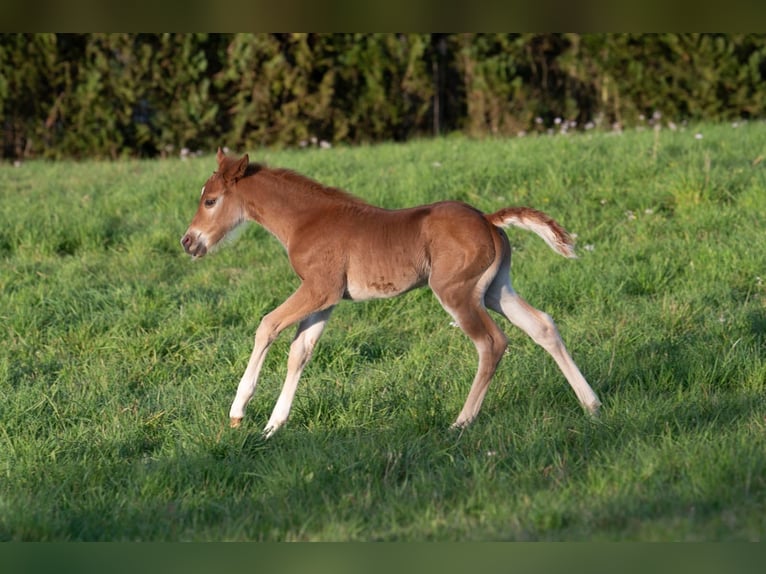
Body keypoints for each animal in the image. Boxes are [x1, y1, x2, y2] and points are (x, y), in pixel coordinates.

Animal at [181, 148, 601, 437]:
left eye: (210, 200)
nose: (188, 242)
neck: (306, 220)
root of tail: (487, 218)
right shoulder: (327, 298)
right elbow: (300, 352)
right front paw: (273, 425)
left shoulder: (318, 287)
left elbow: (267, 325)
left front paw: (239, 411)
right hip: (496, 289)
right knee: (542, 325)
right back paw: (591, 404)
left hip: (455, 291)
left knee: (492, 342)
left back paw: (461, 422)